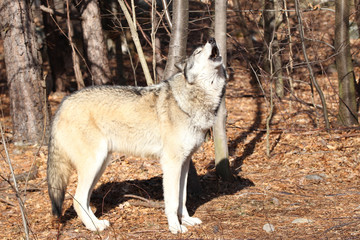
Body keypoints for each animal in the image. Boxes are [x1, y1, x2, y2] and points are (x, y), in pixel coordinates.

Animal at [47, 38, 228, 233]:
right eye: (198, 51)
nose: (212, 39)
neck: (191, 98)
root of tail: (63, 104)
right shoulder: (171, 163)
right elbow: (172, 201)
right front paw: (175, 227)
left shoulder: (185, 162)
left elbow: (182, 198)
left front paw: (186, 220)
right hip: (94, 163)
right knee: (77, 199)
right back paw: (93, 227)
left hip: (100, 165)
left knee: (85, 200)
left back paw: (98, 223)